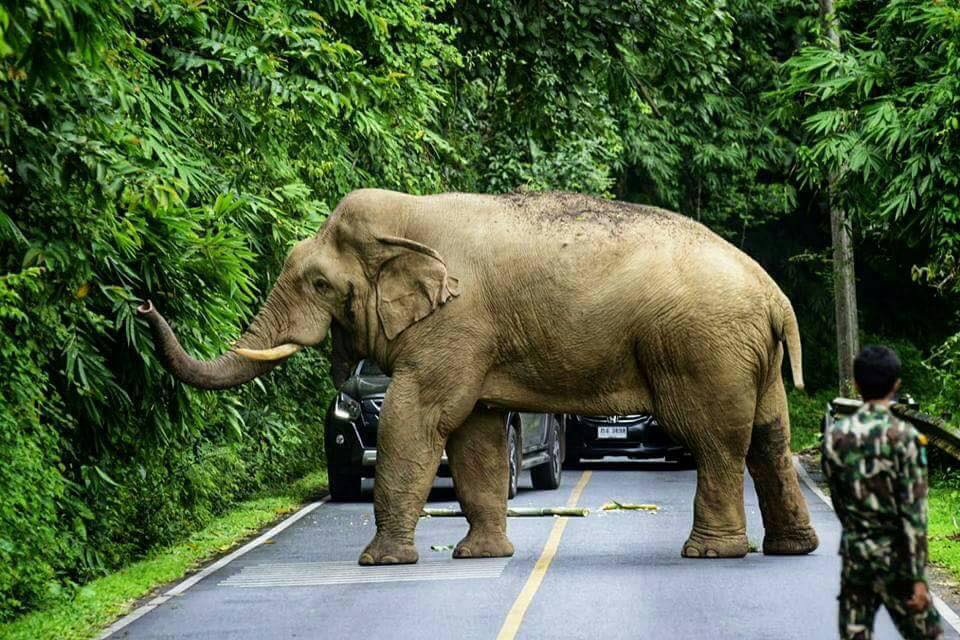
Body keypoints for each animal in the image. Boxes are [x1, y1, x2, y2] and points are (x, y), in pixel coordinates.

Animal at [138, 189, 819, 565]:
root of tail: (775, 295)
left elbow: (417, 416)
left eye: (319, 283)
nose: (141, 304)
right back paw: (792, 549)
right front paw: (479, 555)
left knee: (716, 441)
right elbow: (476, 435)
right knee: (769, 438)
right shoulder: (476, 344)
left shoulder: (456, 324)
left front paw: (378, 563)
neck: (409, 219)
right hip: (746, 357)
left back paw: (708, 552)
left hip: (704, 348)